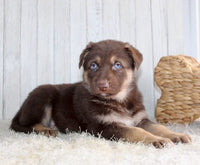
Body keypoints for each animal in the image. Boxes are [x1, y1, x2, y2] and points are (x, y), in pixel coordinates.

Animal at [10, 39, 191, 148]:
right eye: (93, 66)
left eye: (117, 65)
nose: (102, 86)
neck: (119, 100)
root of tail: (21, 108)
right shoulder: (103, 126)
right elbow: (136, 132)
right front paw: (156, 140)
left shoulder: (140, 119)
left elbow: (158, 127)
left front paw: (175, 135)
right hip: (42, 94)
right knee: (24, 124)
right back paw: (45, 130)